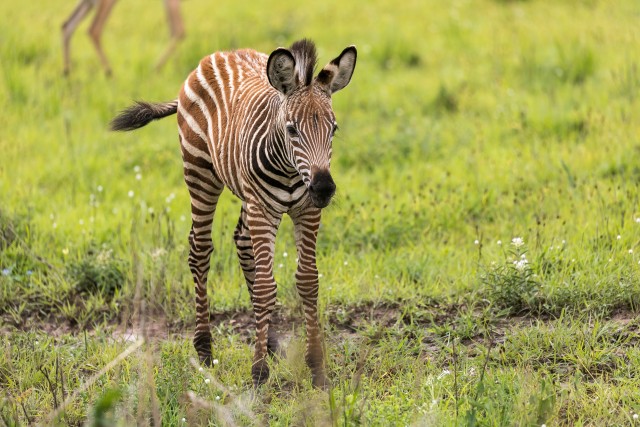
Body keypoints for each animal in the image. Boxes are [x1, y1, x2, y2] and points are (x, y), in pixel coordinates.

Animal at [110, 39, 357, 388]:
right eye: (292, 130)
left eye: (333, 129)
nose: (323, 189)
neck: (291, 171)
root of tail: (221, 53)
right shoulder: (263, 209)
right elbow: (267, 288)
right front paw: (258, 373)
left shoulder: (307, 211)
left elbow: (308, 281)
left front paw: (317, 369)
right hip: (201, 174)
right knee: (199, 250)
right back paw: (204, 349)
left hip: (246, 196)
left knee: (241, 242)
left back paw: (270, 343)